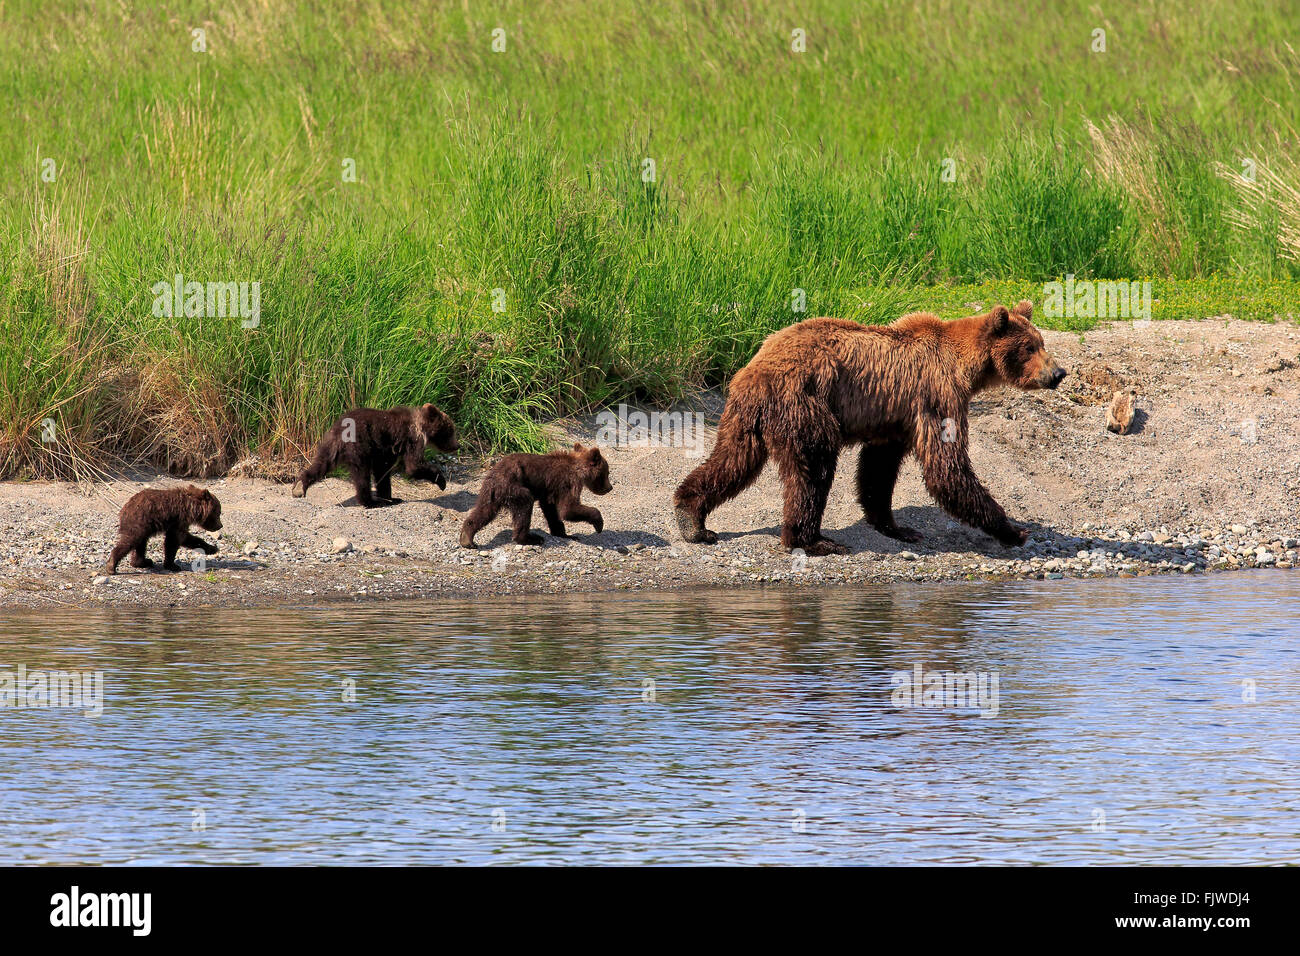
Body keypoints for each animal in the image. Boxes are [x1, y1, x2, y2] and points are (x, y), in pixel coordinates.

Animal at [670, 299, 1066, 554]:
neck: (966, 367)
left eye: (1041, 342)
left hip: (744, 414)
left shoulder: (894, 416)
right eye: (1030, 347)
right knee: (813, 468)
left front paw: (897, 527)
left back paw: (691, 519)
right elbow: (946, 467)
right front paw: (1014, 530)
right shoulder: (937, 396)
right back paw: (814, 540)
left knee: (733, 460)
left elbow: (879, 469)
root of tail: (757, 368)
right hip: (805, 402)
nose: (1058, 372)